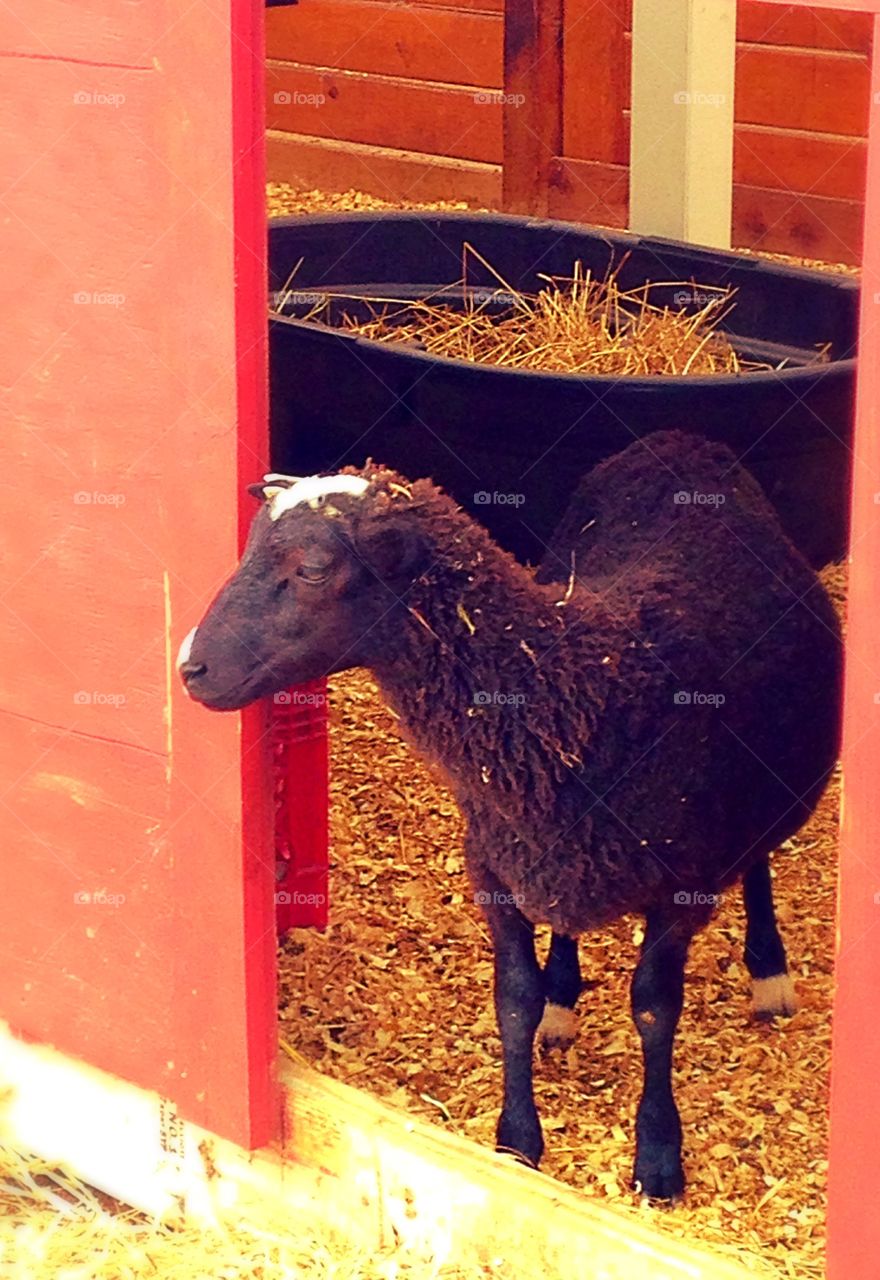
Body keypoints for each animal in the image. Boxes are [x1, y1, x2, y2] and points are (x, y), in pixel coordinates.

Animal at [176, 432, 839, 1198]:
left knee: (759, 861)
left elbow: (653, 1007)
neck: (581, 692)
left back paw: (769, 971)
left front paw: (657, 1156)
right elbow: (514, 999)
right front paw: (518, 1141)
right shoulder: (493, 863)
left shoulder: (682, 887)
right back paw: (565, 998)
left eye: (312, 568)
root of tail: (678, 442)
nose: (190, 667)